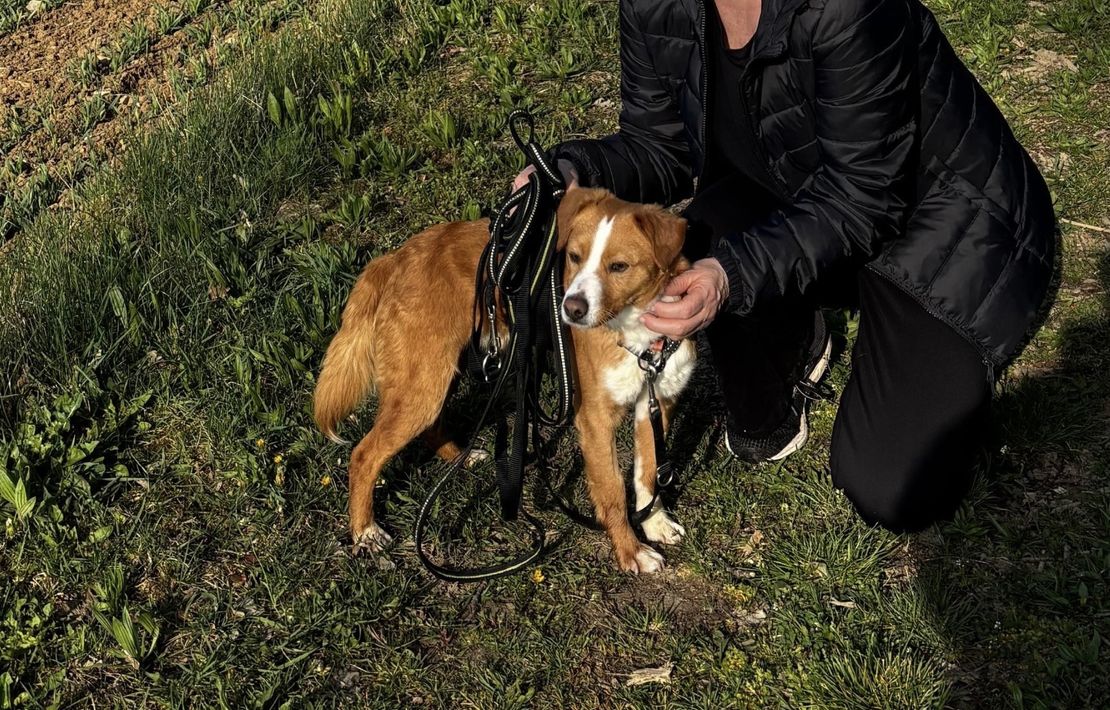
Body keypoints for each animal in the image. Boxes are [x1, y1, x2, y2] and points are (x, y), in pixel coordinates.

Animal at [313, 187, 696, 573]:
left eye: (619, 267)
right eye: (574, 257)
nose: (571, 310)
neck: (639, 339)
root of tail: (395, 257)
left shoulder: (656, 404)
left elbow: (648, 474)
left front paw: (655, 524)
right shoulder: (595, 420)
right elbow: (614, 490)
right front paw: (630, 551)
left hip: (437, 376)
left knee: (431, 427)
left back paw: (461, 457)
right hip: (422, 384)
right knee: (364, 454)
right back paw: (365, 532)